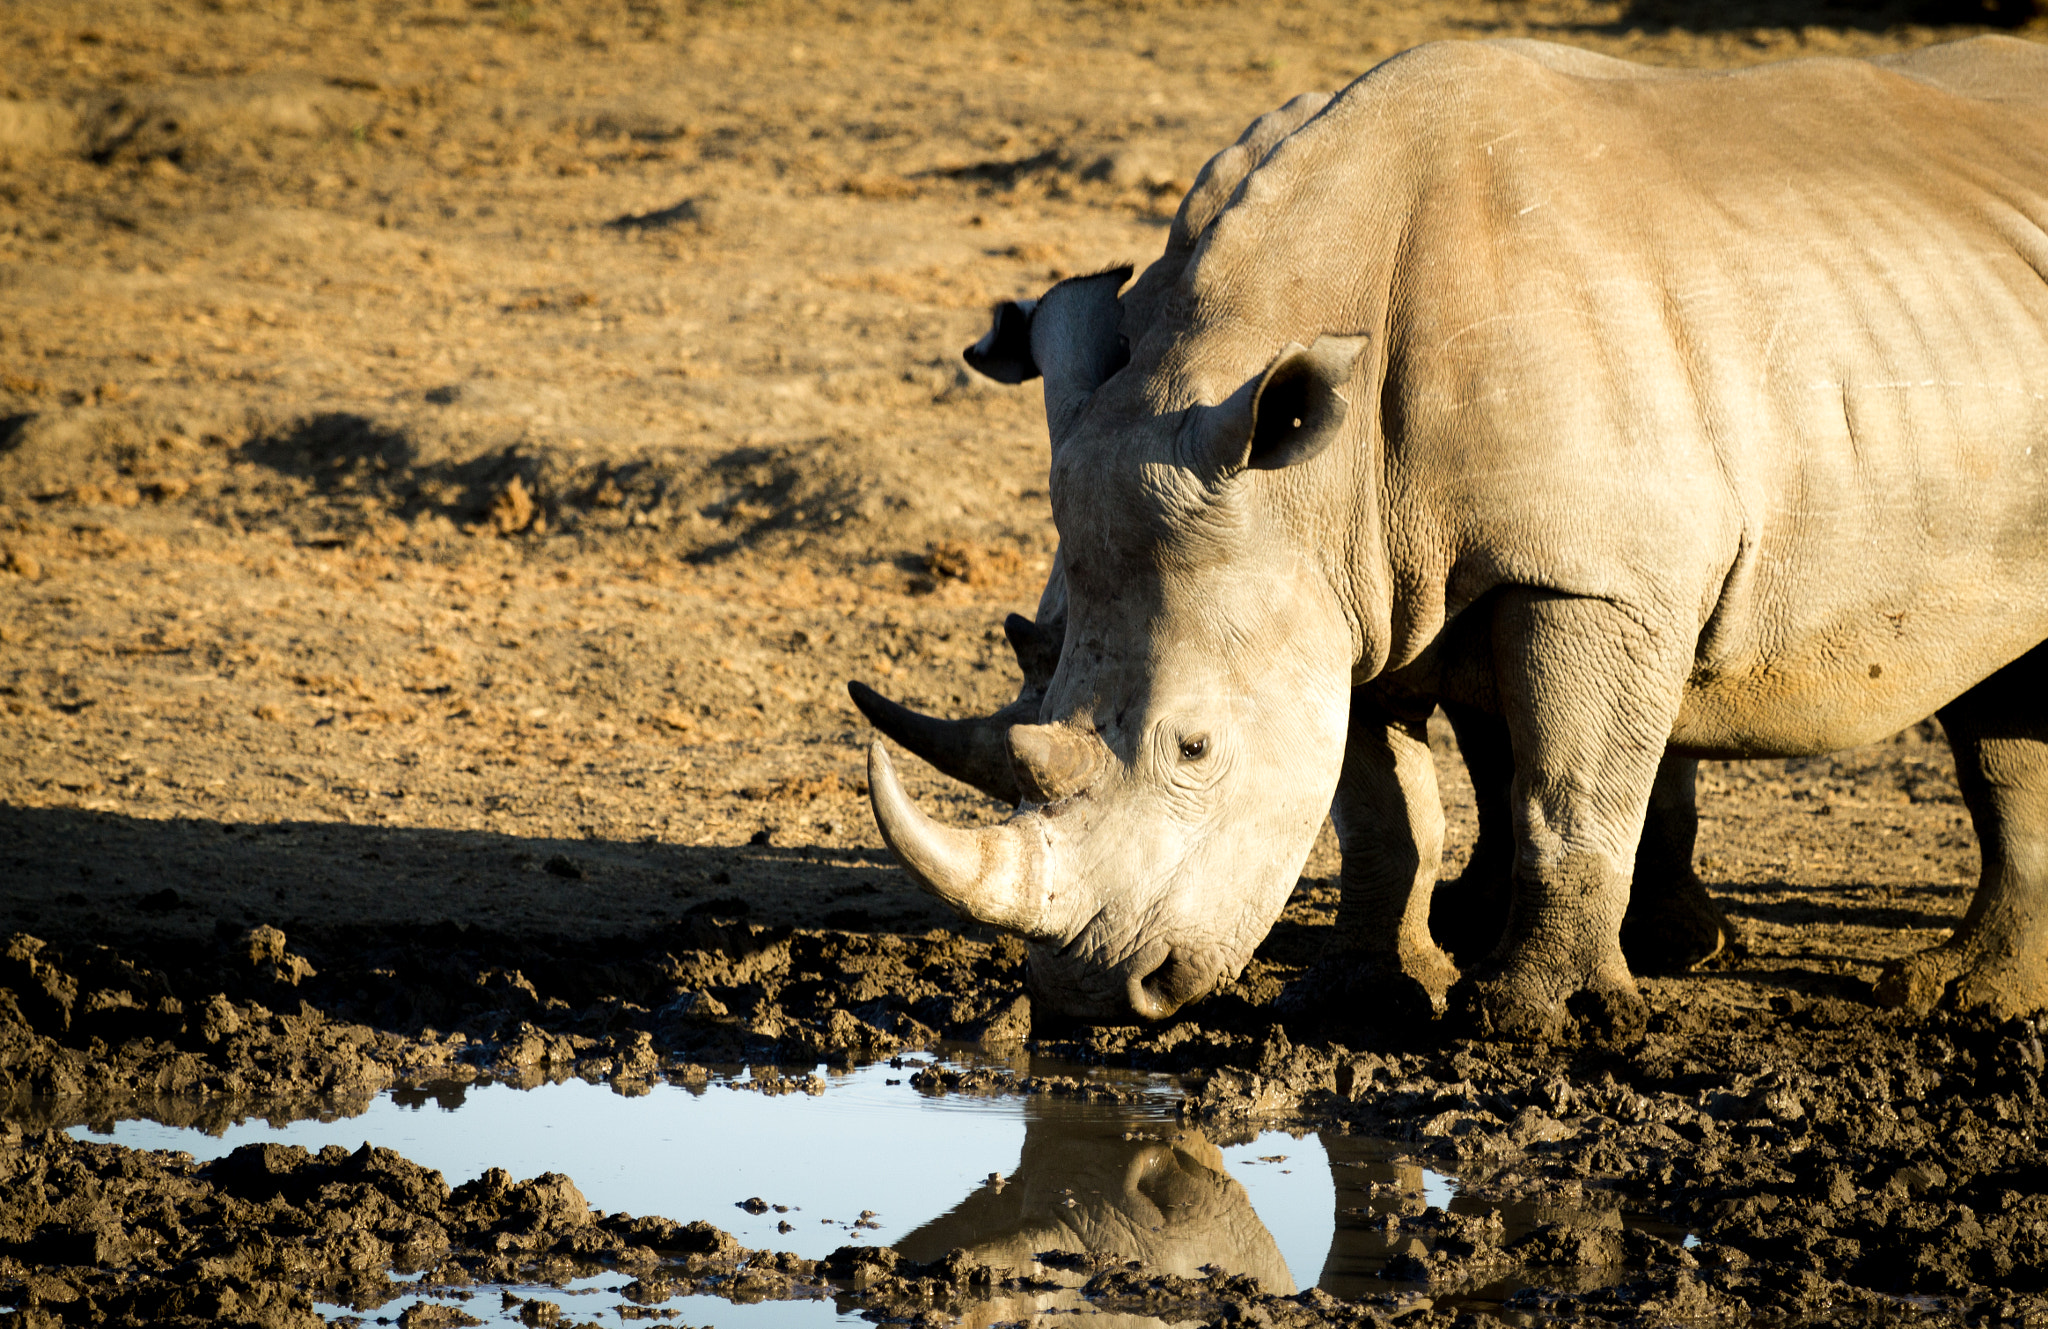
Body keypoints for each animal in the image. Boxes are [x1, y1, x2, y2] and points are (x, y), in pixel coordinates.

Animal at [854, 36, 2048, 1038]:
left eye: (1194, 749)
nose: (1091, 993)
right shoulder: (1340, 582)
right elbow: (1386, 811)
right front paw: (1368, 994)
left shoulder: (1591, 572)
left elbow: (1568, 791)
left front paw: (1535, 1019)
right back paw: (1959, 993)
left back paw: (1942, 998)